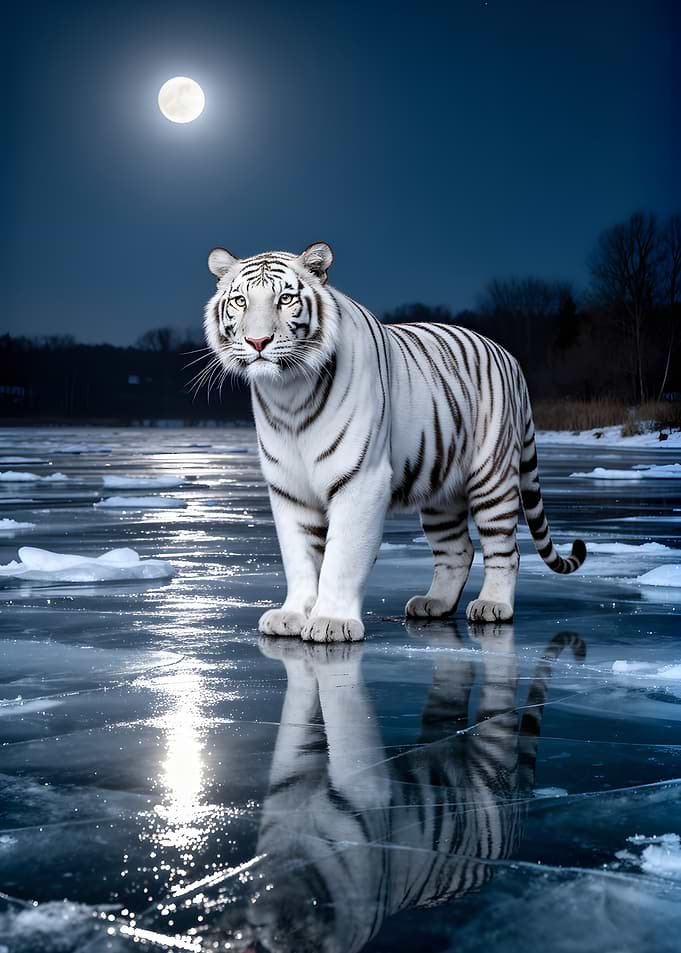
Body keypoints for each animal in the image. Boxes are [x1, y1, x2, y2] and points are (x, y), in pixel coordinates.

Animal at [204, 242, 586, 642]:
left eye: (286, 299)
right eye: (240, 301)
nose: (257, 342)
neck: (289, 393)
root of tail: (510, 357)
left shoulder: (360, 479)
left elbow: (342, 556)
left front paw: (331, 622)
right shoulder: (288, 488)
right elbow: (299, 555)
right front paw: (292, 615)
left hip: (492, 478)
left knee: (504, 549)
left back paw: (493, 605)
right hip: (441, 490)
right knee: (458, 550)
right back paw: (434, 603)